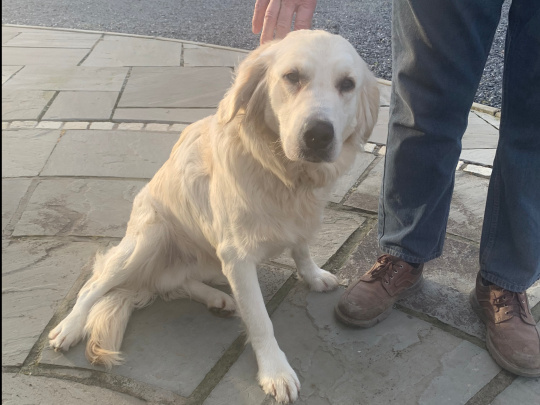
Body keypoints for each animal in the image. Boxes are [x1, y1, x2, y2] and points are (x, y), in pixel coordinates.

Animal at [49, 30, 380, 402]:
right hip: (149, 238)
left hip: (206, 259)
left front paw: (313, 275)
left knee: (171, 283)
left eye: (347, 84)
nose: (319, 135)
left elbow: (302, 248)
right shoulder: (237, 256)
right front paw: (275, 370)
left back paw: (217, 298)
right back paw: (69, 327)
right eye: (292, 76)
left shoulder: (292, 225)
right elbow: (261, 320)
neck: (280, 172)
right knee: (95, 284)